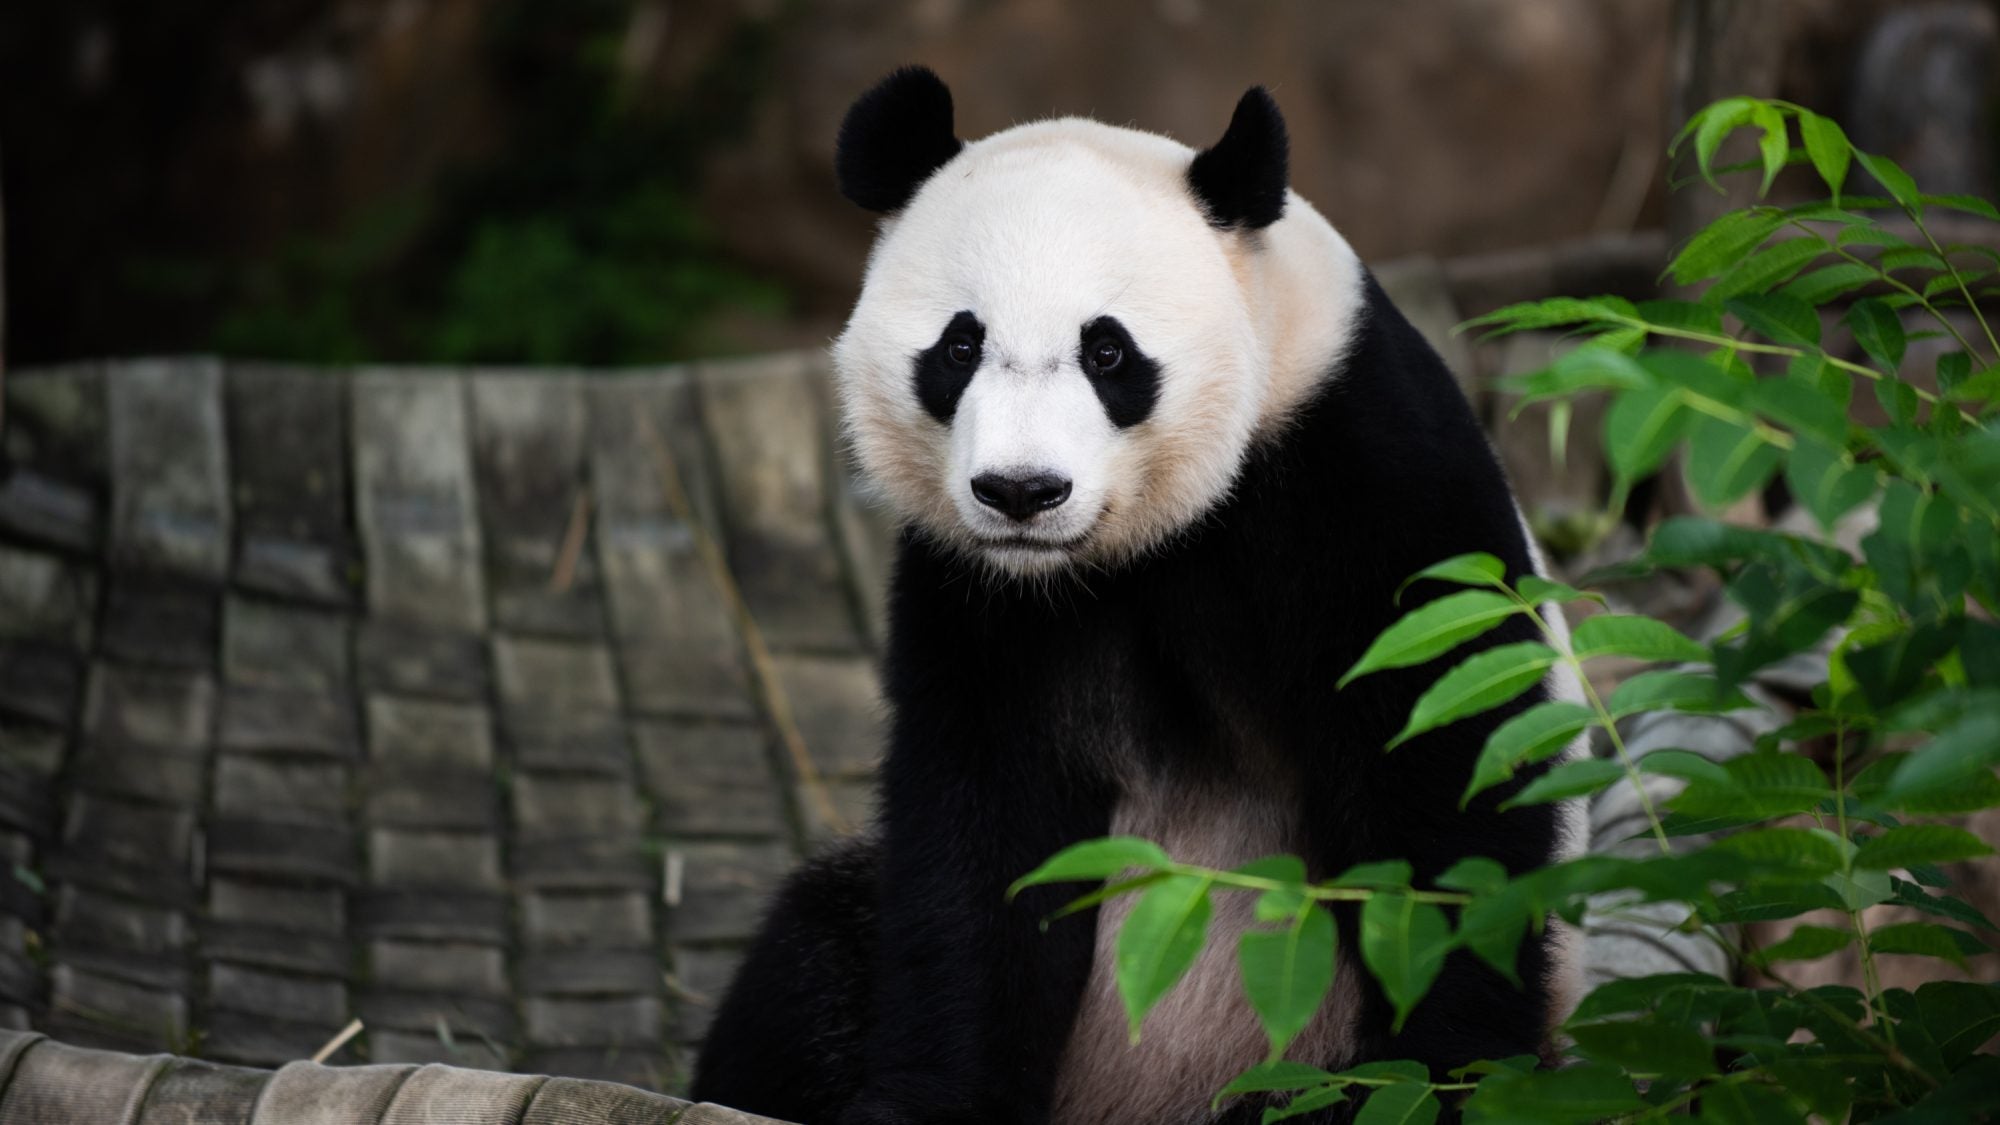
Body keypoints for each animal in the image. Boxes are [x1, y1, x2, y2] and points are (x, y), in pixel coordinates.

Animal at [696, 65, 1584, 1112]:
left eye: (1108, 351)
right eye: (959, 347)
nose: (1021, 491)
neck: (1145, 541)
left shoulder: (1366, 479)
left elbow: (1443, 780)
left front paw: (1426, 1076)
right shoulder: (978, 595)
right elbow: (980, 843)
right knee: (811, 955)